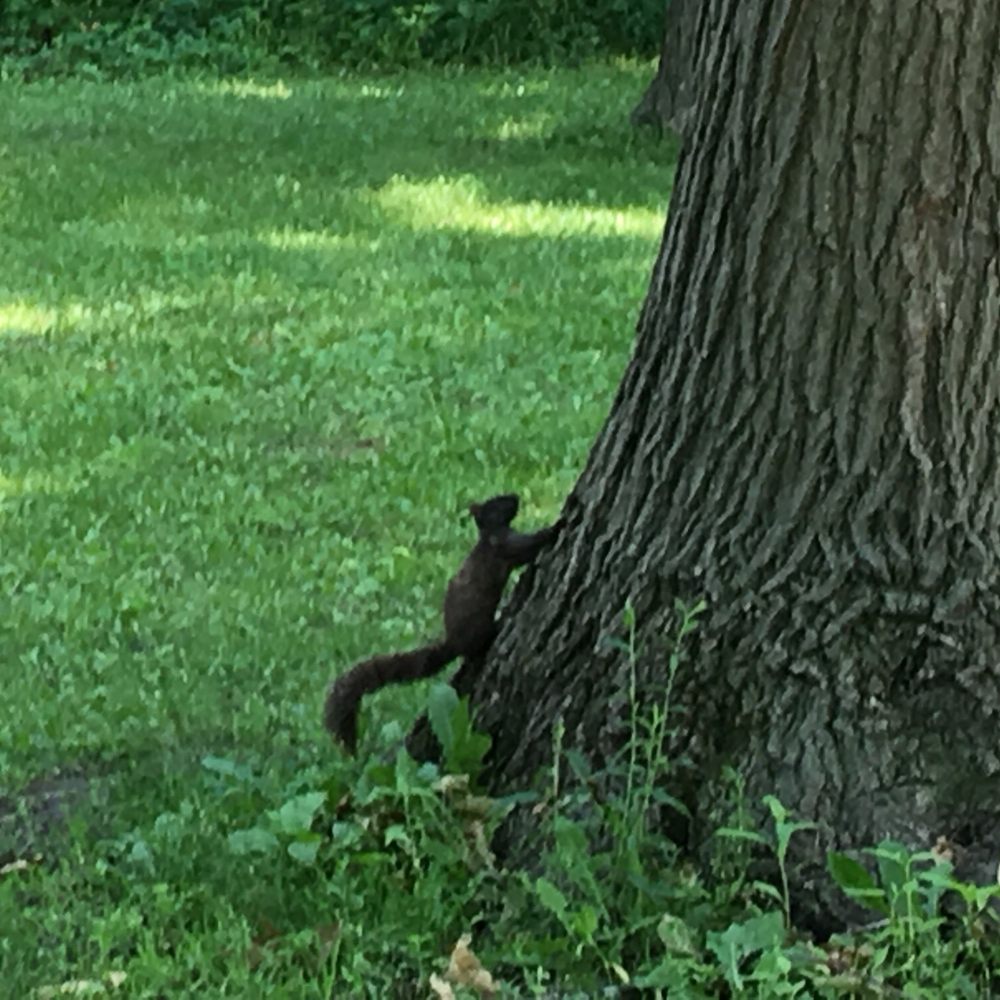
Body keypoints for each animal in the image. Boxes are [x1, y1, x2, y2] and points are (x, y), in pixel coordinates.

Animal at [324, 493, 563, 753]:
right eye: (498, 502)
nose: (515, 497)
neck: (489, 536)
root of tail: (453, 643)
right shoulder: (507, 546)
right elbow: (527, 548)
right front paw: (553, 528)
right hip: (477, 631)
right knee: (475, 653)